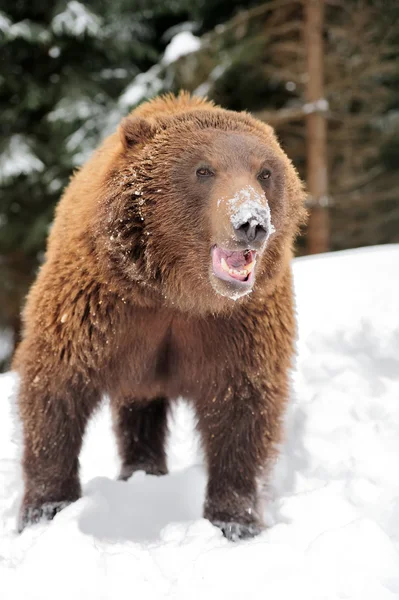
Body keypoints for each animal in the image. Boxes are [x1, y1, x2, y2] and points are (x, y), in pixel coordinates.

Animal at [12, 91, 306, 540]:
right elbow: (57, 388)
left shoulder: (239, 327)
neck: (178, 295)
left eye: (266, 171)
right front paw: (46, 508)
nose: (251, 223)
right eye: (203, 169)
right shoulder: (99, 308)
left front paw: (235, 521)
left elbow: (243, 412)